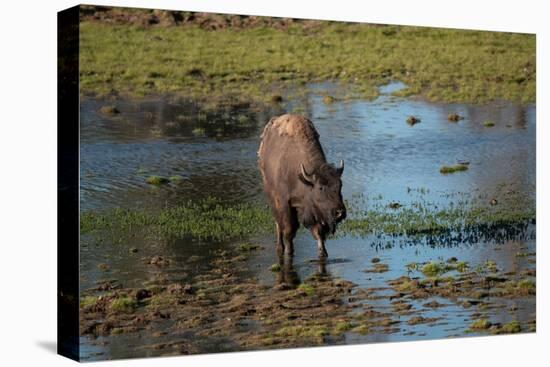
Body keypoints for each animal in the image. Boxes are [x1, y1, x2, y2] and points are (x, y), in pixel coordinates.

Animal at [258, 115, 344, 258]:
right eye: (320, 188)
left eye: (340, 185)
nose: (340, 213)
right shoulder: (285, 203)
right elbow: (288, 230)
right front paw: (289, 251)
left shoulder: (313, 210)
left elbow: (319, 232)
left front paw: (323, 252)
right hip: (272, 198)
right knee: (278, 225)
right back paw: (280, 248)